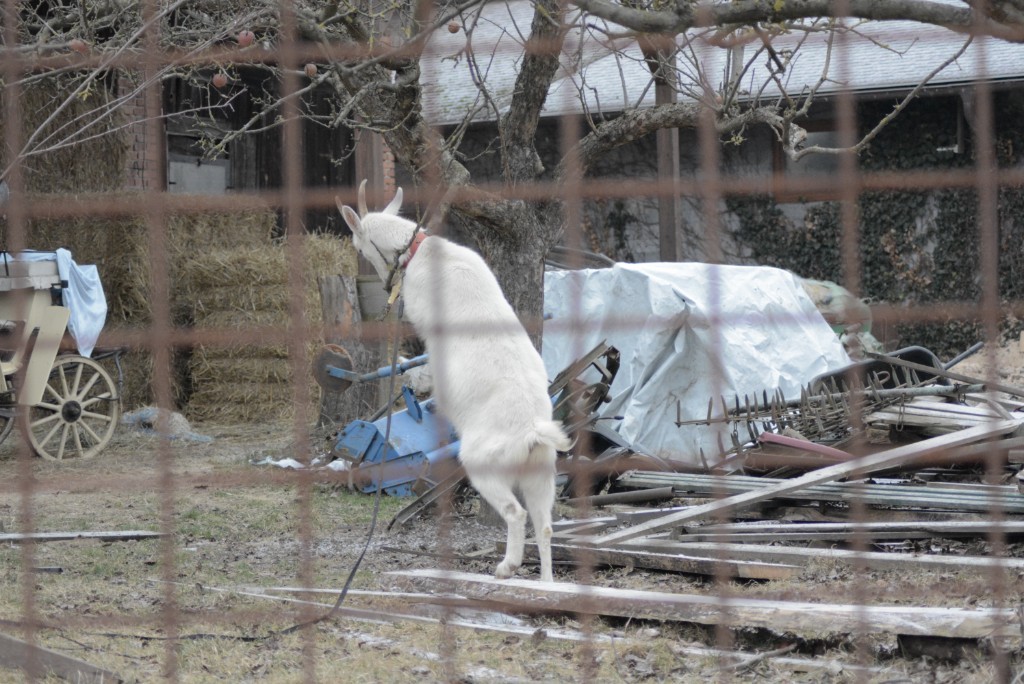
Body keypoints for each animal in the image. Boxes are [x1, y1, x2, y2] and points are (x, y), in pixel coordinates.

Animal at [337, 181, 569, 582]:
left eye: (359, 246)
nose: (383, 284)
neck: (420, 252)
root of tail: (531, 432)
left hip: (483, 466)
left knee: (516, 513)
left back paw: (506, 567)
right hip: (541, 475)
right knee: (544, 525)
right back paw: (546, 582)